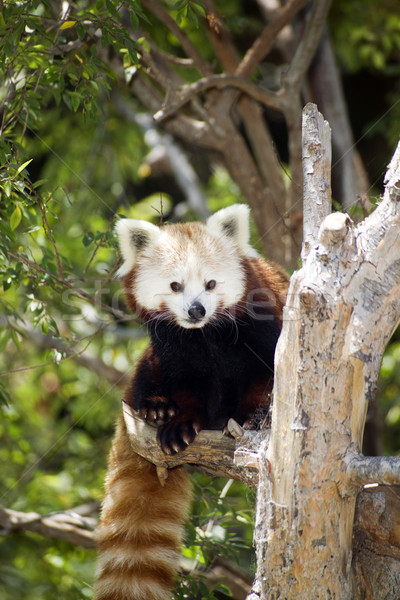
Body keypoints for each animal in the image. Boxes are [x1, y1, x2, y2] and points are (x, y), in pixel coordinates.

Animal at [94, 205, 288, 600]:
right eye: (175, 286)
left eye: (211, 284)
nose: (196, 310)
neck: (206, 335)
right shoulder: (174, 349)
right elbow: (187, 386)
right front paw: (178, 423)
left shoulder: (264, 326)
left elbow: (267, 378)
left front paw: (252, 417)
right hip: (146, 367)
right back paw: (156, 407)